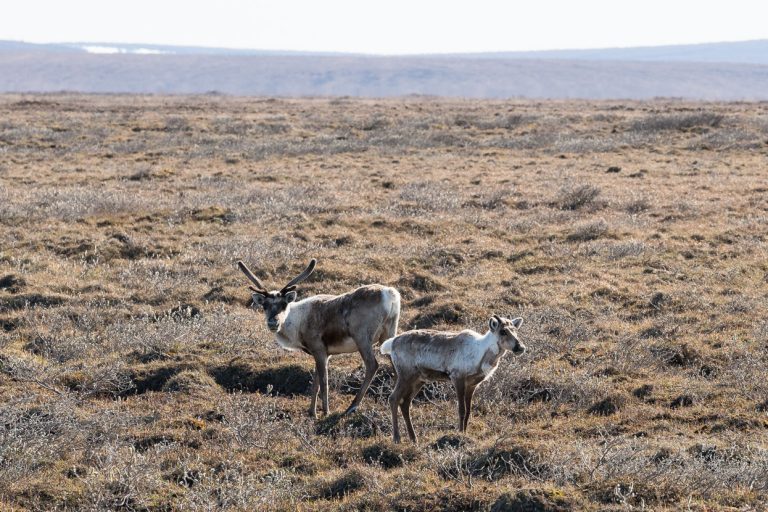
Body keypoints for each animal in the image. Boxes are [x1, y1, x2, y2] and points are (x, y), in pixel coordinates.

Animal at [237, 258, 400, 418]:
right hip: (389, 332)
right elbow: (315, 383)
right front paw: (312, 412)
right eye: (264, 305)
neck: (298, 324)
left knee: (373, 365)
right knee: (396, 366)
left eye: (284, 304)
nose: (273, 323)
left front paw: (326, 411)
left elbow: (323, 382)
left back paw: (351, 407)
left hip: (362, 337)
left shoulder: (319, 349)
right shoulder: (321, 353)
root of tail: (390, 294)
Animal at [380, 314, 524, 442]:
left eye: (515, 330)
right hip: (405, 376)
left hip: (418, 380)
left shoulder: (472, 385)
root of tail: (392, 343)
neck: (481, 354)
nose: (520, 347)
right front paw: (460, 433)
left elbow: (468, 411)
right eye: (503, 331)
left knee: (405, 403)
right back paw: (397, 438)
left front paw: (465, 432)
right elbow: (461, 410)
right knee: (393, 398)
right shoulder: (457, 378)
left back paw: (413, 438)